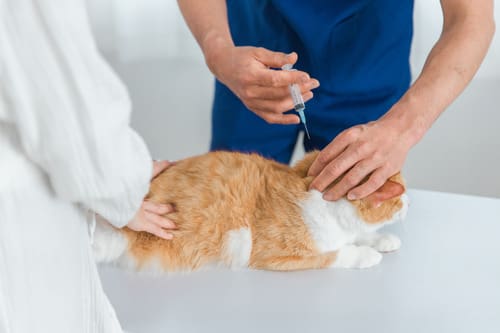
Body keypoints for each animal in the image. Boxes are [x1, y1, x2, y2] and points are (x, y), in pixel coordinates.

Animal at [92, 150, 408, 270]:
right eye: (402, 196)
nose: (410, 204)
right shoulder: (279, 256)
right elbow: (338, 254)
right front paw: (367, 255)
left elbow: (360, 235)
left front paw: (383, 240)